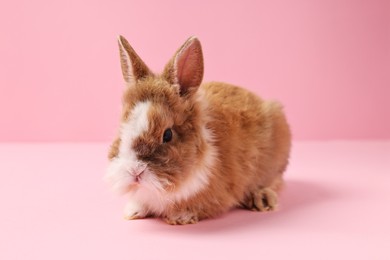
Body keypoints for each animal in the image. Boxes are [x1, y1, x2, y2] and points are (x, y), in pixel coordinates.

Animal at [105, 34, 290, 224]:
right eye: (121, 128)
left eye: (167, 135)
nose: (134, 171)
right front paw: (132, 212)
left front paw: (180, 218)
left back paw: (262, 198)